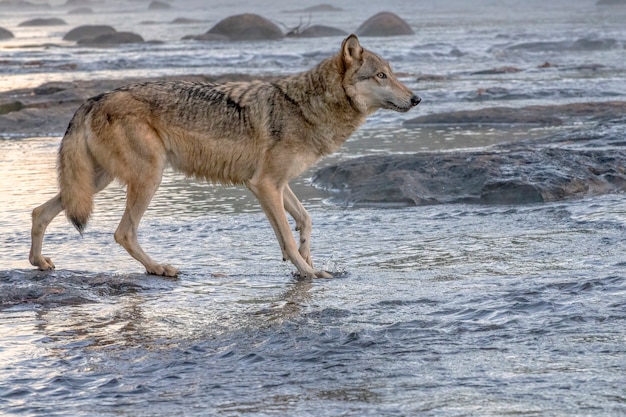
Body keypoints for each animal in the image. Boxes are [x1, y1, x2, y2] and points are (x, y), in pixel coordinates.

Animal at [29, 35, 420, 276]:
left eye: (393, 74)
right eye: (381, 75)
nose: (417, 99)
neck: (304, 106)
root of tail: (93, 98)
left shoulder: (275, 184)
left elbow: (305, 220)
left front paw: (306, 255)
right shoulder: (264, 184)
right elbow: (287, 235)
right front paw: (309, 272)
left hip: (96, 182)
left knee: (39, 211)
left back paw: (39, 262)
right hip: (148, 178)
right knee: (123, 233)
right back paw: (158, 268)